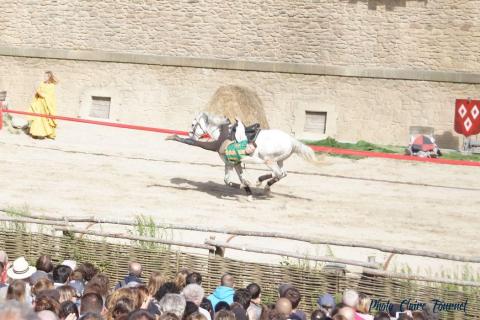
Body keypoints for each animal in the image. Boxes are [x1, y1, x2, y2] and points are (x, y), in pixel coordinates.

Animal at [188, 112, 318, 196]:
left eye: (193, 124)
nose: (190, 137)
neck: (223, 134)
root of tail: (291, 140)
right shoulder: (234, 163)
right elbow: (237, 178)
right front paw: (248, 190)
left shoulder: (230, 162)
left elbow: (230, 180)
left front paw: (247, 187)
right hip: (279, 160)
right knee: (282, 174)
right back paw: (264, 185)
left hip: (269, 160)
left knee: (277, 173)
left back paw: (262, 183)